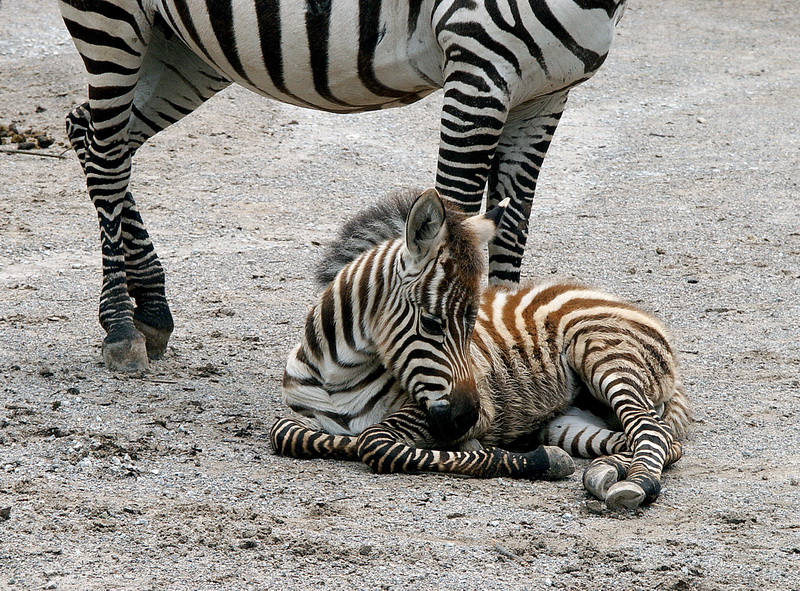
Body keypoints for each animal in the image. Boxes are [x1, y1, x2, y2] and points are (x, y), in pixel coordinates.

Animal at [57, 0, 628, 374]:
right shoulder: (480, 66)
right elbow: (459, 216)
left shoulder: (547, 90)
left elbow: (512, 227)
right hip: (110, 17)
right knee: (106, 154)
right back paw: (120, 326)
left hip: (185, 42)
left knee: (94, 136)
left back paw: (151, 308)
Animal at [270, 188, 692, 511]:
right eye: (432, 324)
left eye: (473, 326)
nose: (468, 418)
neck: (338, 375)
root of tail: (616, 300)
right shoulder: (301, 417)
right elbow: (289, 434)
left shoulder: (433, 411)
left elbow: (374, 442)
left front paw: (518, 457)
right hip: (566, 420)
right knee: (646, 439)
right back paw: (603, 472)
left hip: (604, 353)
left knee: (651, 432)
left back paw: (634, 483)